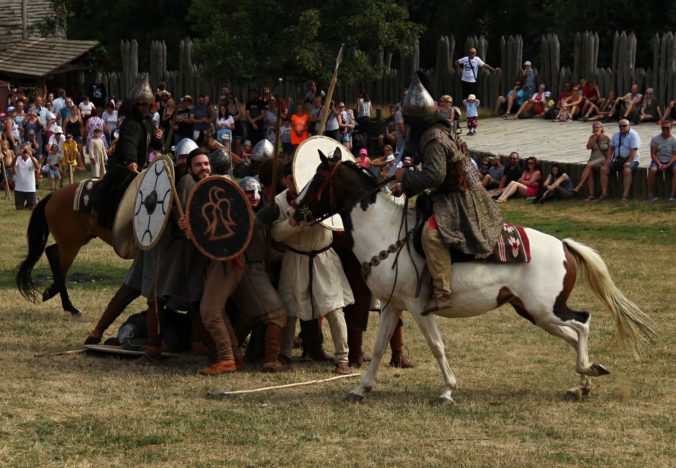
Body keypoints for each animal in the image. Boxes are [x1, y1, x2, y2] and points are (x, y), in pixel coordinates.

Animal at [15, 185, 111, 316]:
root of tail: (54, 195)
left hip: (71, 242)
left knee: (51, 251)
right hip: (71, 243)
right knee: (60, 268)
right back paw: (68, 305)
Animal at [294, 151, 656, 406]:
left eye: (317, 178)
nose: (296, 210)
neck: (386, 232)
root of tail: (563, 245)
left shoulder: (417, 307)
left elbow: (437, 346)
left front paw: (447, 391)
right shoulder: (392, 306)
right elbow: (381, 347)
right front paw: (361, 388)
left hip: (545, 309)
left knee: (582, 324)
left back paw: (587, 370)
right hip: (535, 312)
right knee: (572, 332)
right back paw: (584, 382)